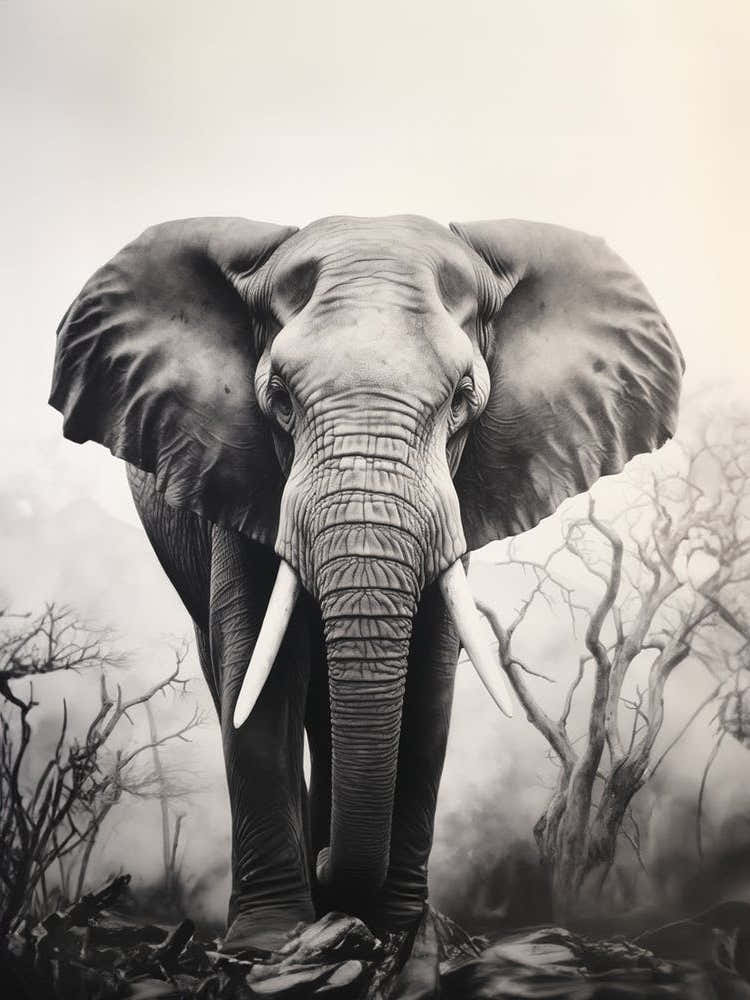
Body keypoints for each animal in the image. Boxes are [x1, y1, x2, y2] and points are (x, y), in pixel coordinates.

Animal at [49, 214, 683, 954]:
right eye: (278, 397)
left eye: (464, 398)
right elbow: (258, 675)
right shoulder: (235, 469)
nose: (327, 872)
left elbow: (429, 687)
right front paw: (267, 940)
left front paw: (402, 930)